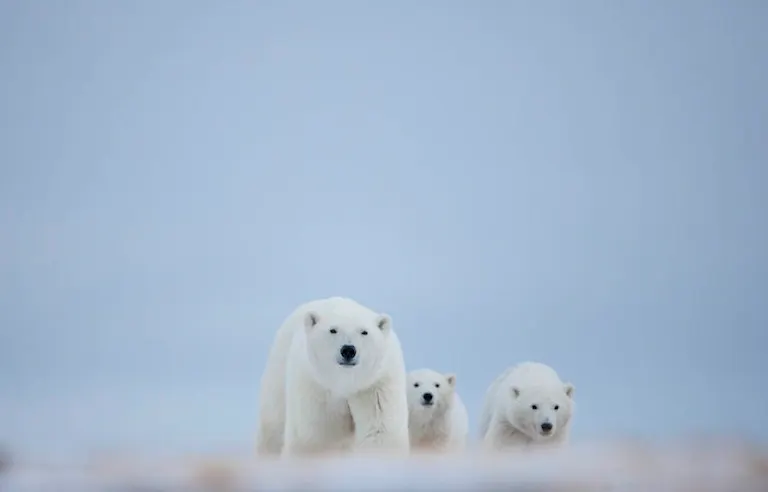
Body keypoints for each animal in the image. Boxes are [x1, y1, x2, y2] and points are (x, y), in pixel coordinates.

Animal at [255, 297, 410, 458]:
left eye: (364, 332)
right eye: (333, 330)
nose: (348, 350)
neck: (344, 382)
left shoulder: (376, 385)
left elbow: (380, 431)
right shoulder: (315, 386)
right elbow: (317, 436)